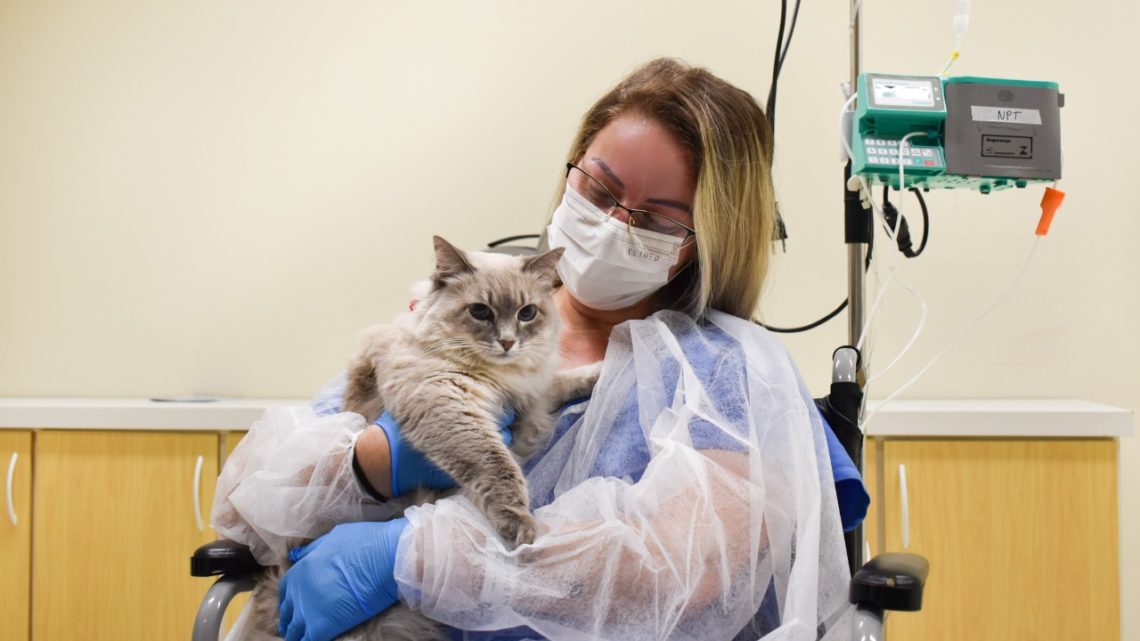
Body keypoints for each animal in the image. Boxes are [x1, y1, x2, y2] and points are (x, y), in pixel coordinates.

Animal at [237, 234, 601, 638]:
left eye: (527, 313)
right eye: (480, 312)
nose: (508, 343)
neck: (499, 376)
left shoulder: (532, 398)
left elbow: (565, 381)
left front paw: (600, 373)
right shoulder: (449, 403)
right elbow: (498, 468)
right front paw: (522, 528)